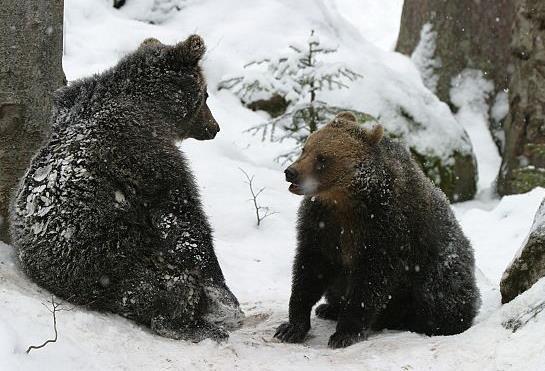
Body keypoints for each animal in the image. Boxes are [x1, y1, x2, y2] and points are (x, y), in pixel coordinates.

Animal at [274, 112, 478, 348]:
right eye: (305, 148)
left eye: (322, 158)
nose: (291, 172)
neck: (345, 199)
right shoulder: (322, 222)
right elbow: (310, 268)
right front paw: (291, 327)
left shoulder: (385, 227)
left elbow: (370, 280)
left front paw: (344, 333)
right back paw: (328, 308)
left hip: (438, 269)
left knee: (441, 295)